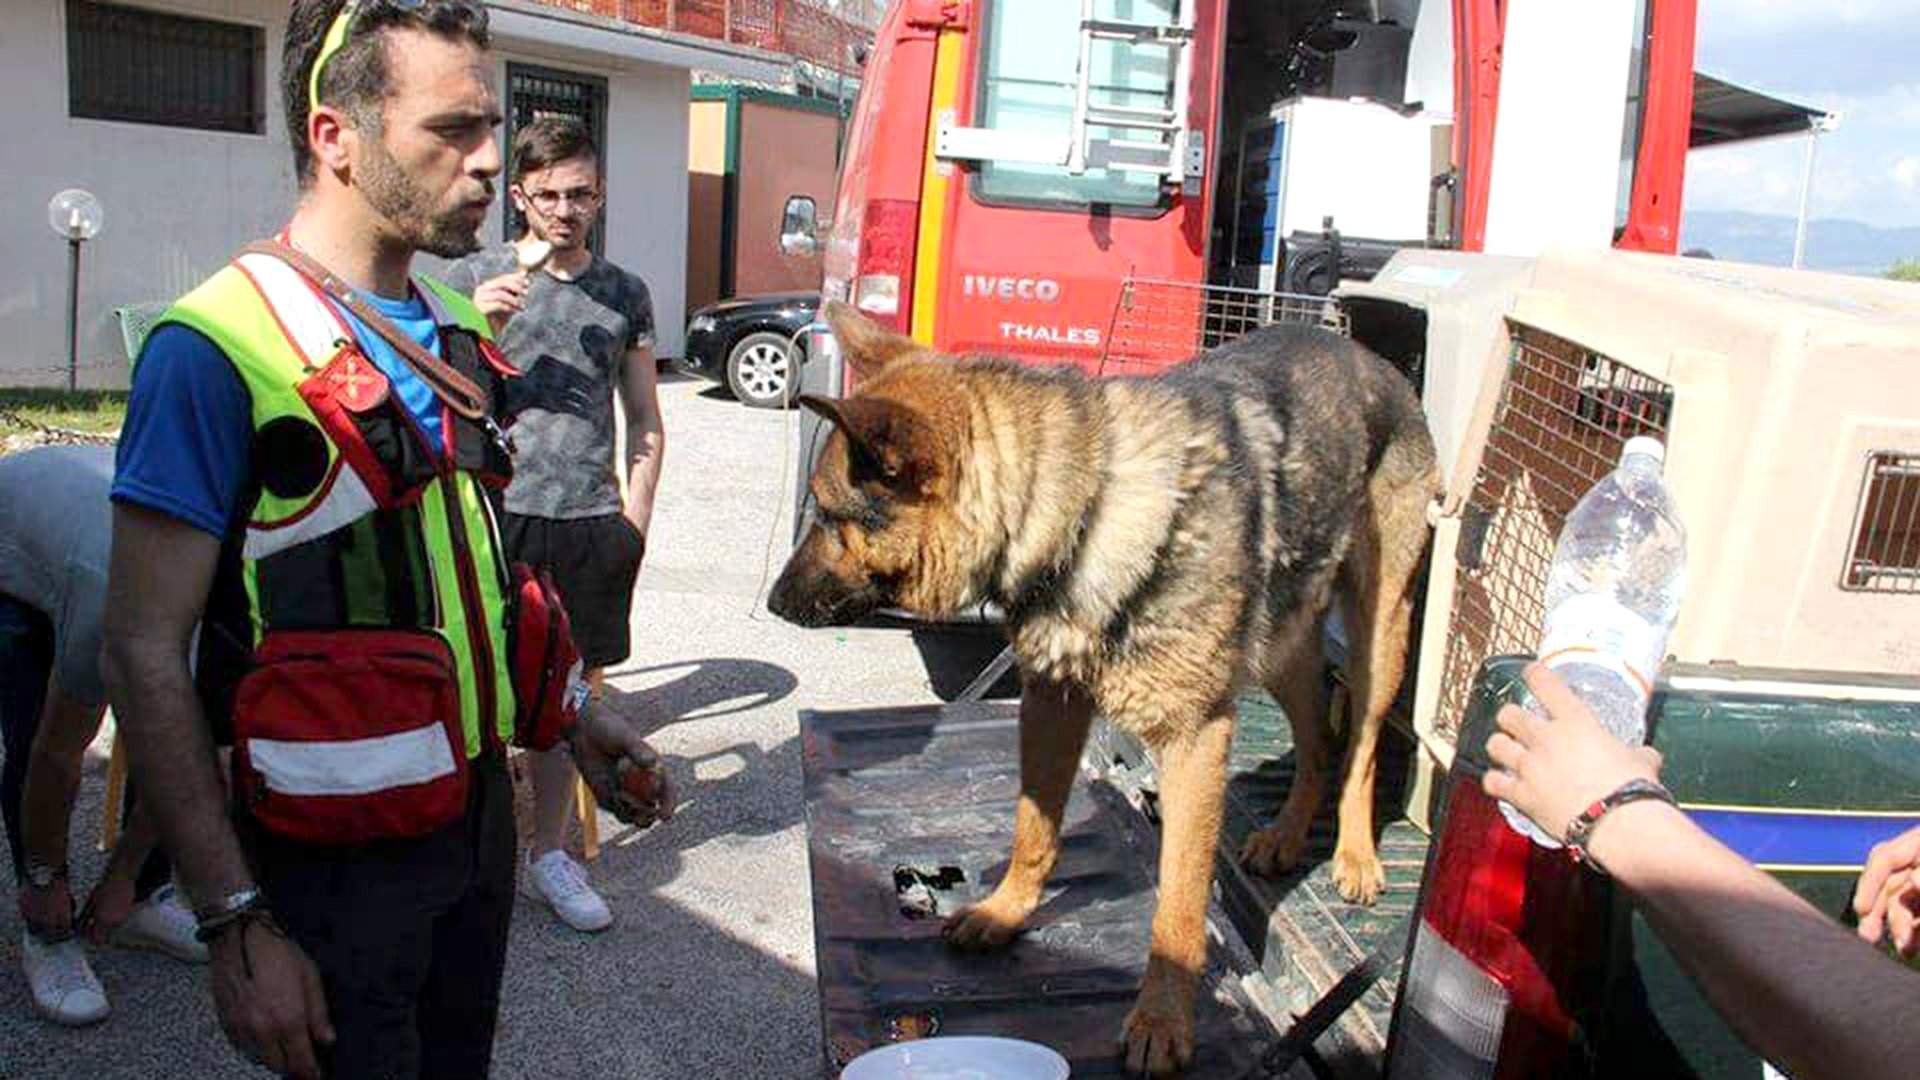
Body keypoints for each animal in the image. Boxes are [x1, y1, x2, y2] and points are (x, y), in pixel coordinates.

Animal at [771, 299, 1436, 1068]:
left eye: (828, 517)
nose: (772, 604)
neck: (1083, 510)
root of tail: (1372, 357)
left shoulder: (1194, 740)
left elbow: (1178, 902)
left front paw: (1163, 1020)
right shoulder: (1052, 701)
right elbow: (1033, 825)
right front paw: (1006, 911)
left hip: (1378, 634)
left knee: (1361, 741)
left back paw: (1355, 855)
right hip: (1282, 642)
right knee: (1319, 738)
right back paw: (1287, 835)